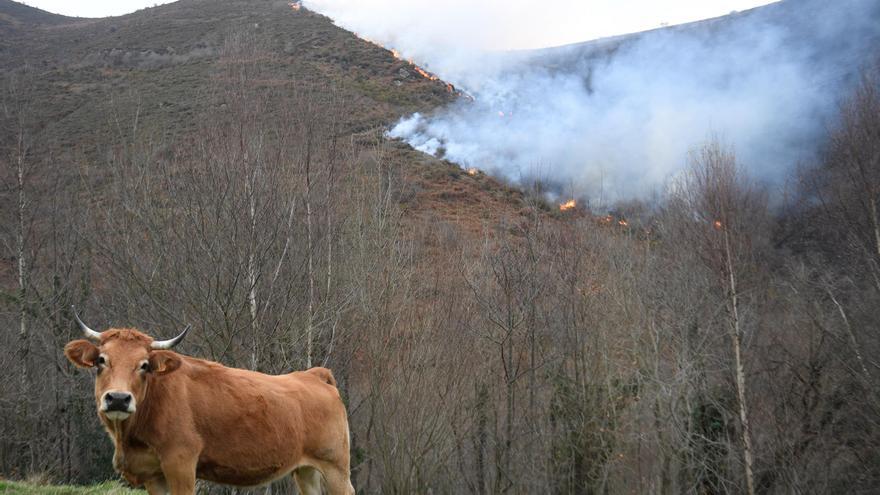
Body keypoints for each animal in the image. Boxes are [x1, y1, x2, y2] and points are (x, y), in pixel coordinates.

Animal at [63, 310, 356, 495]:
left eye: (144, 365)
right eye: (102, 360)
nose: (118, 399)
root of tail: (312, 374)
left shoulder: (181, 464)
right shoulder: (153, 475)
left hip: (336, 468)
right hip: (306, 470)